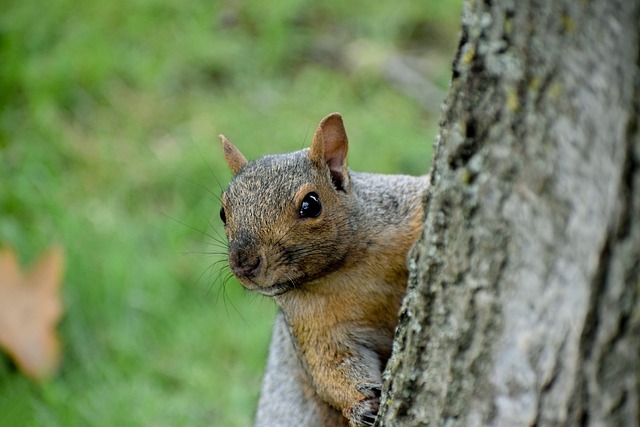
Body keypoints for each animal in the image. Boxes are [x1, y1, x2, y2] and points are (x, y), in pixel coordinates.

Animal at [218, 112, 428, 426]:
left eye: (311, 204)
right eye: (223, 212)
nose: (244, 264)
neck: (344, 271)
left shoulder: (396, 210)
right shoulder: (313, 324)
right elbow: (331, 364)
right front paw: (362, 405)